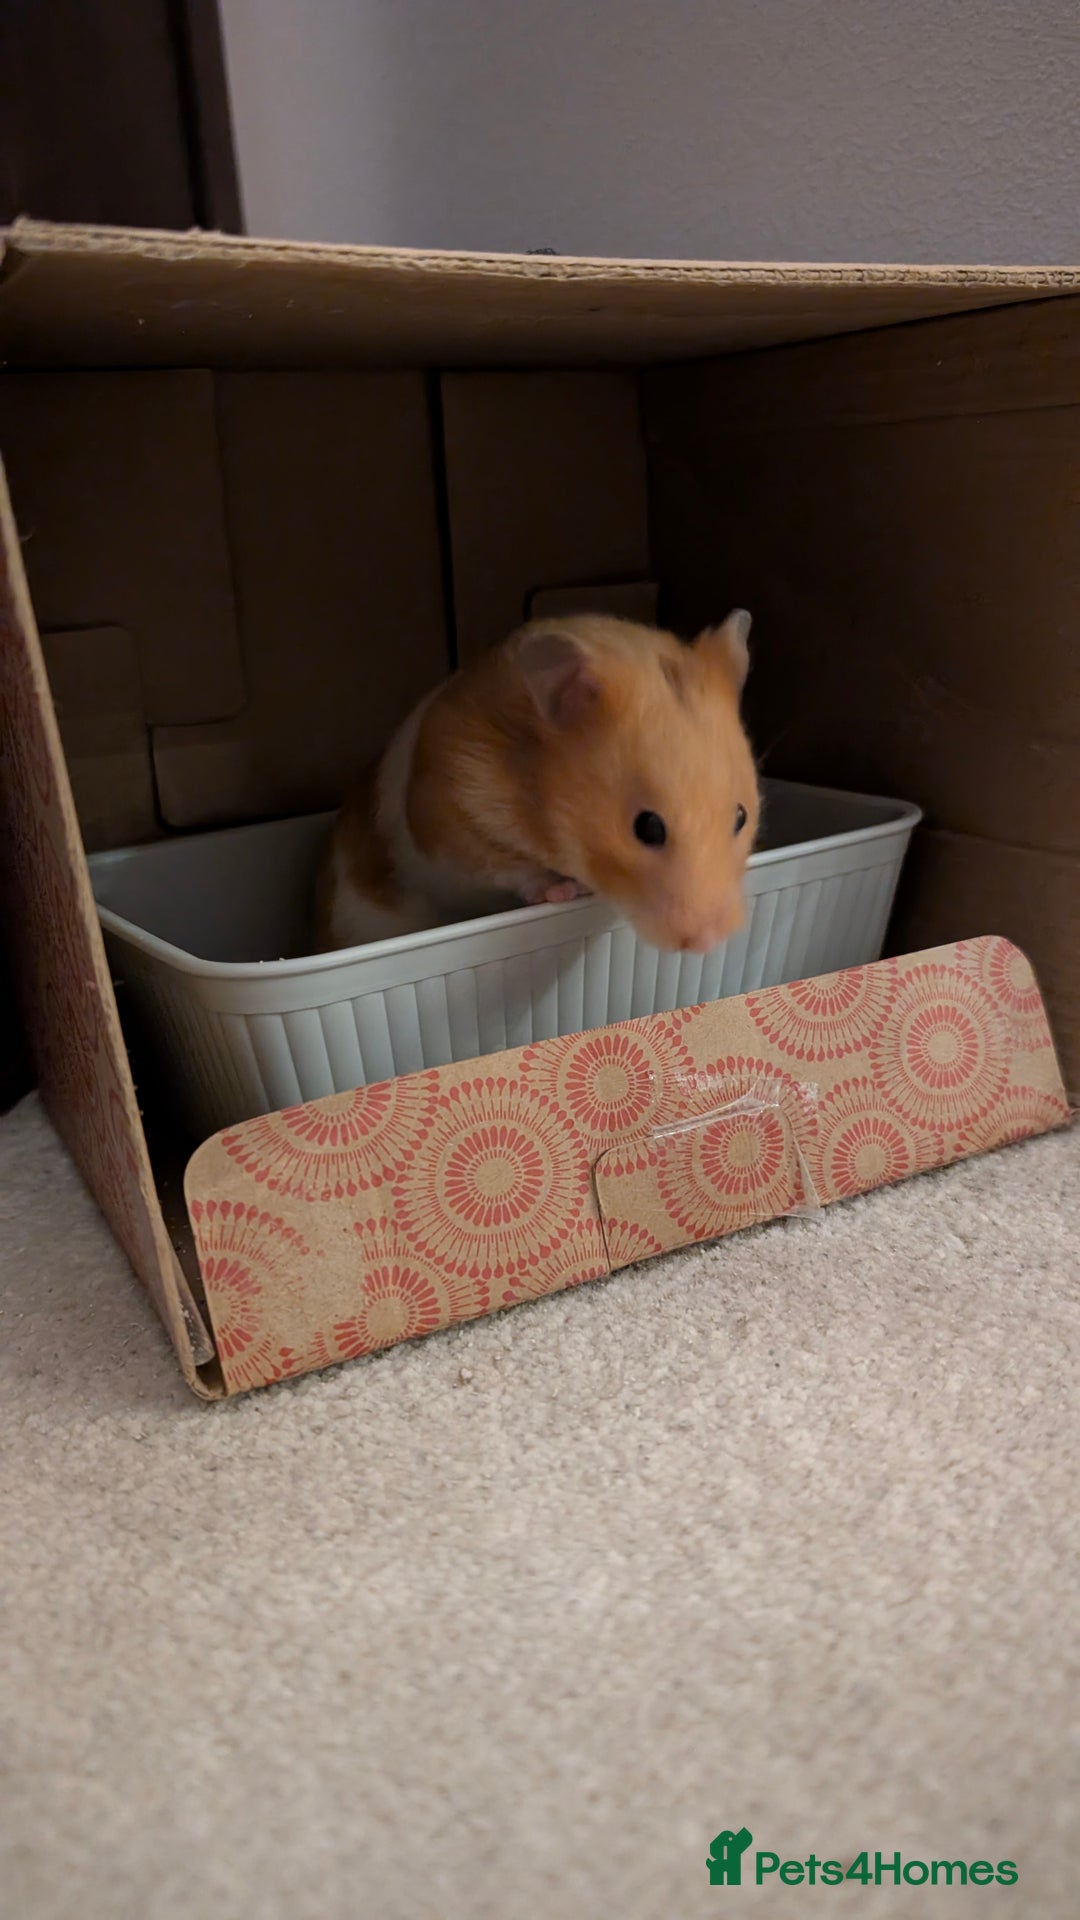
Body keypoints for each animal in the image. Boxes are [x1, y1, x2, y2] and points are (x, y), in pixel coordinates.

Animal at [314, 609, 760, 955]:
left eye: (741, 816)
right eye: (647, 827)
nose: (709, 943)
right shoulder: (450, 820)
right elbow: (508, 869)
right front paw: (563, 890)